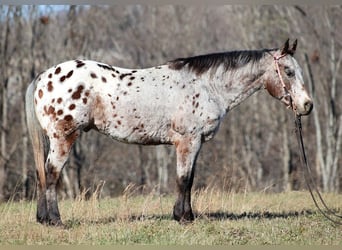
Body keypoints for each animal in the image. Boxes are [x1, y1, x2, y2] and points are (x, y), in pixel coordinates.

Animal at [24, 38, 312, 226]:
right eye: (288, 71)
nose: (307, 105)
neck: (207, 85)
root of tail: (44, 76)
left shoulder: (195, 144)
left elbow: (190, 179)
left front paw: (186, 215)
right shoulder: (188, 141)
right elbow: (183, 180)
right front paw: (183, 218)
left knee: (42, 174)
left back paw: (42, 219)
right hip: (63, 138)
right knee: (51, 175)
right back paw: (55, 221)